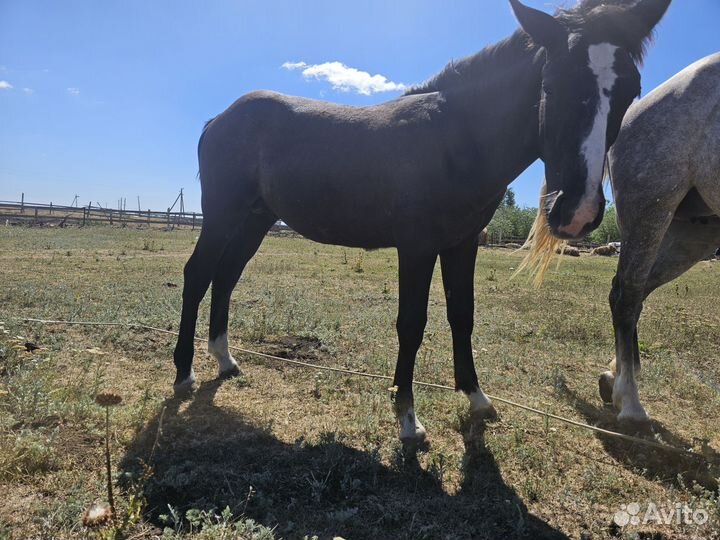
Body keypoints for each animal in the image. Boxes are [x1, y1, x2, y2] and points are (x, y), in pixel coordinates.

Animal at [173, 0, 670, 442]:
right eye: (552, 84)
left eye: (631, 90)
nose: (578, 212)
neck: (455, 137)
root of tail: (220, 119)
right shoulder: (416, 247)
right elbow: (411, 324)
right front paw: (408, 420)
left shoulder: (462, 243)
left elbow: (462, 315)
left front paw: (477, 399)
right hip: (223, 215)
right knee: (198, 275)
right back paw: (184, 373)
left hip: (255, 221)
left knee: (226, 277)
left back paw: (225, 361)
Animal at [597, 53, 720, 422]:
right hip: (651, 211)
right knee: (627, 295)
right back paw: (630, 403)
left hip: (693, 234)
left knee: (633, 293)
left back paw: (616, 380)